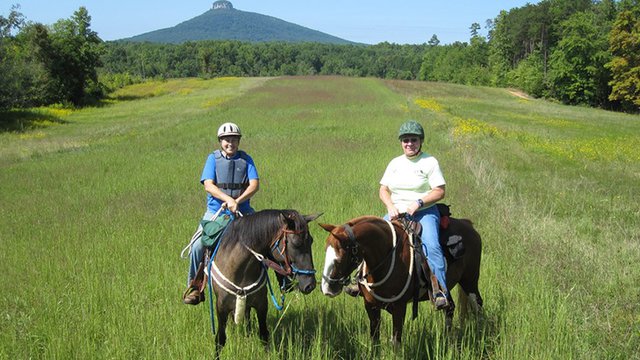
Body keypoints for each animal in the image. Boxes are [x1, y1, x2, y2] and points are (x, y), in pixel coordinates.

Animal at [206, 208, 320, 352]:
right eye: (296, 244)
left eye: (311, 240)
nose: (310, 285)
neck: (240, 271)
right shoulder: (221, 307)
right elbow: (220, 340)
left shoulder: (261, 304)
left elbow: (264, 335)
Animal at [318, 212, 482, 344]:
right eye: (325, 250)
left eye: (340, 257)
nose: (327, 288)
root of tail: (468, 224)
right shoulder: (371, 307)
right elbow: (374, 340)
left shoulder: (399, 308)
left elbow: (396, 342)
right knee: (450, 308)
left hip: (470, 281)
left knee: (477, 304)